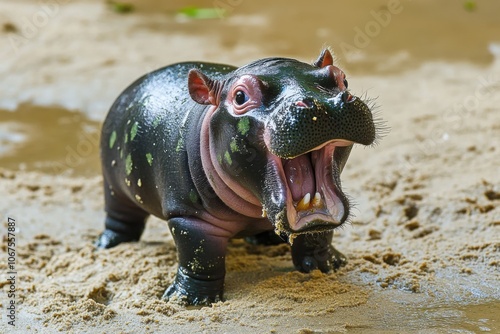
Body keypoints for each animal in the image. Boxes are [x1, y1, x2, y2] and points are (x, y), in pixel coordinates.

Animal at [96, 49, 378, 306]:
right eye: (240, 96)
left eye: (342, 79)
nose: (324, 104)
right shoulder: (190, 219)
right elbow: (200, 257)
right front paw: (190, 300)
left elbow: (317, 236)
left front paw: (329, 266)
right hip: (114, 185)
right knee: (120, 217)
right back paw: (108, 245)